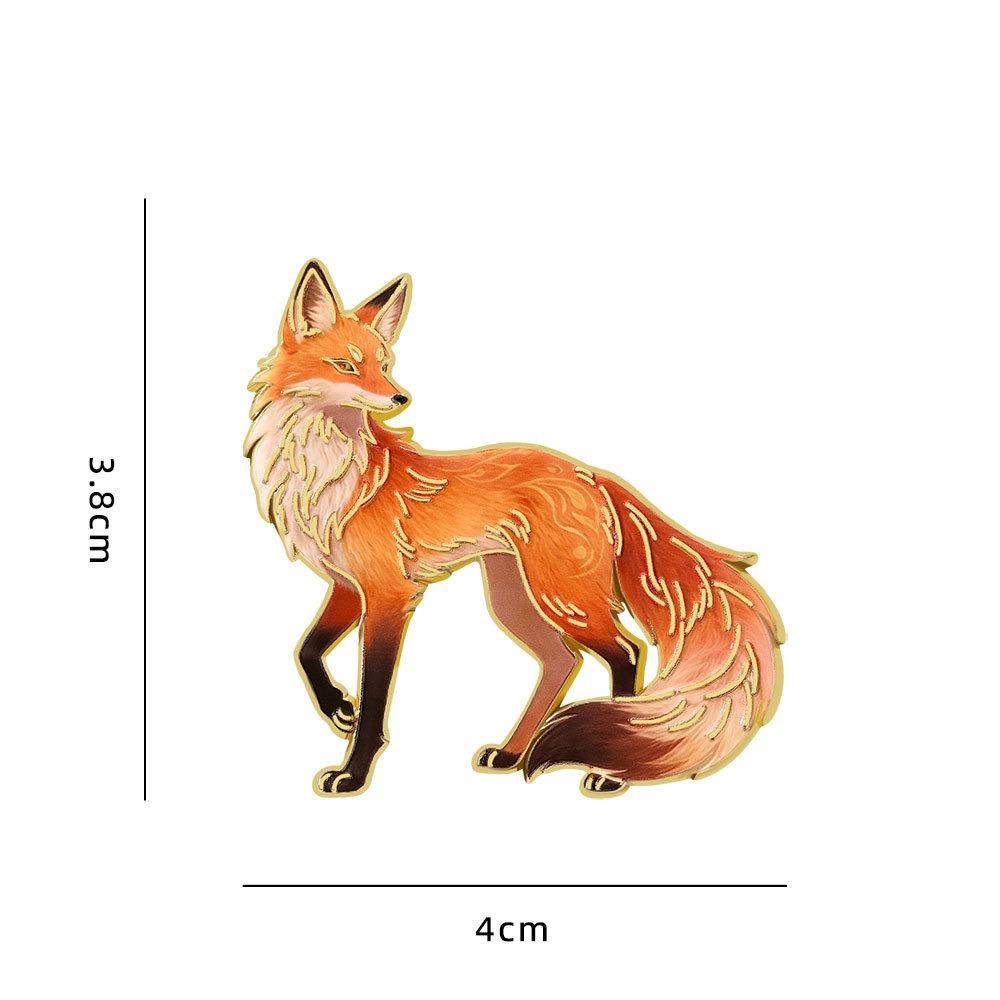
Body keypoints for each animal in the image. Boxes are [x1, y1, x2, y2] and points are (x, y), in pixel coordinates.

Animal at [245, 259, 785, 797]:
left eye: (386, 364)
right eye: (346, 366)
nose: (400, 397)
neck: (330, 475)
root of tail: (589, 472)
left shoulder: (389, 593)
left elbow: (375, 697)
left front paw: (353, 772)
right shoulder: (347, 584)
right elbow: (306, 650)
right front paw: (338, 707)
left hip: (562, 596)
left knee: (626, 652)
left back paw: (608, 774)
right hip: (514, 599)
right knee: (563, 662)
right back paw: (511, 754)